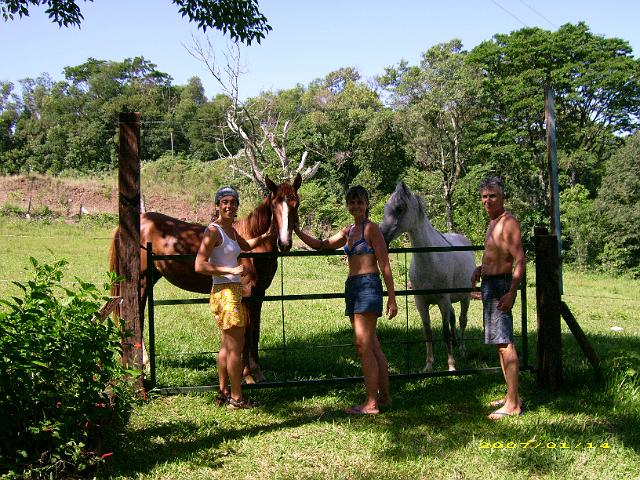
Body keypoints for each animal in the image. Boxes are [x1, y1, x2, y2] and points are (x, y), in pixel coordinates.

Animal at [110, 175, 302, 382]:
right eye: (274, 205)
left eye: (296, 204)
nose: (284, 243)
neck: (252, 249)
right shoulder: (246, 295)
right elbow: (246, 332)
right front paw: (248, 376)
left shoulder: (259, 294)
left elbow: (255, 332)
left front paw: (257, 373)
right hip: (142, 280)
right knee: (136, 315)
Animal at [380, 183, 476, 372]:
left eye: (399, 208)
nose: (380, 236)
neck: (430, 259)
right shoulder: (421, 302)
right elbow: (428, 332)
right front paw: (429, 365)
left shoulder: (443, 300)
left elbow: (445, 332)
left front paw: (451, 365)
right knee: (453, 318)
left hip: (465, 297)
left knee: (462, 320)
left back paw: (462, 350)